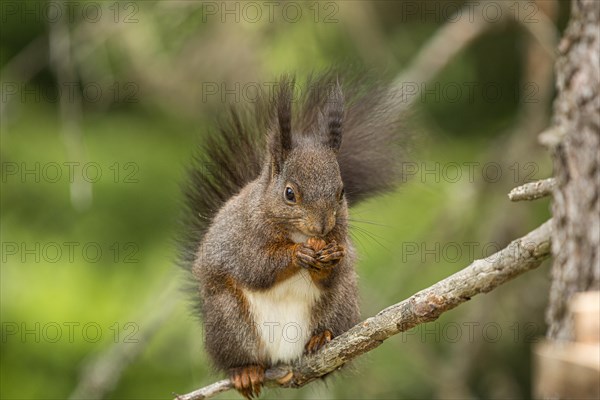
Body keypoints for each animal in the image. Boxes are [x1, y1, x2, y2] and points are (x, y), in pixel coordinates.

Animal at [177, 72, 404, 400]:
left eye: (341, 192)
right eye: (289, 194)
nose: (322, 227)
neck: (297, 235)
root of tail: (283, 357)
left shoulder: (341, 240)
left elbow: (335, 270)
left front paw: (329, 258)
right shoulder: (241, 240)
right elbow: (255, 267)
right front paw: (298, 255)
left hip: (341, 304)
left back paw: (322, 338)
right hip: (227, 318)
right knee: (240, 353)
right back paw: (245, 370)